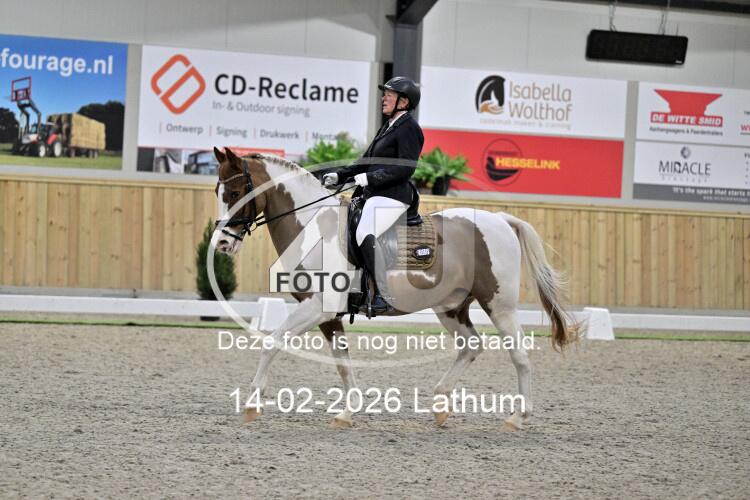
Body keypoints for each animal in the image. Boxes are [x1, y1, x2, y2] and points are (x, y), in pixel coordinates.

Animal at [212, 147, 577, 430]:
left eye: (235, 194)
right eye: (219, 193)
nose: (221, 244)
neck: (314, 227)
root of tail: (501, 219)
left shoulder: (317, 307)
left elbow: (271, 343)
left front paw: (252, 405)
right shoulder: (328, 314)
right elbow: (342, 362)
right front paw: (347, 413)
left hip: (499, 305)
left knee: (519, 355)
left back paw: (517, 417)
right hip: (451, 306)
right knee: (471, 345)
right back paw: (441, 406)